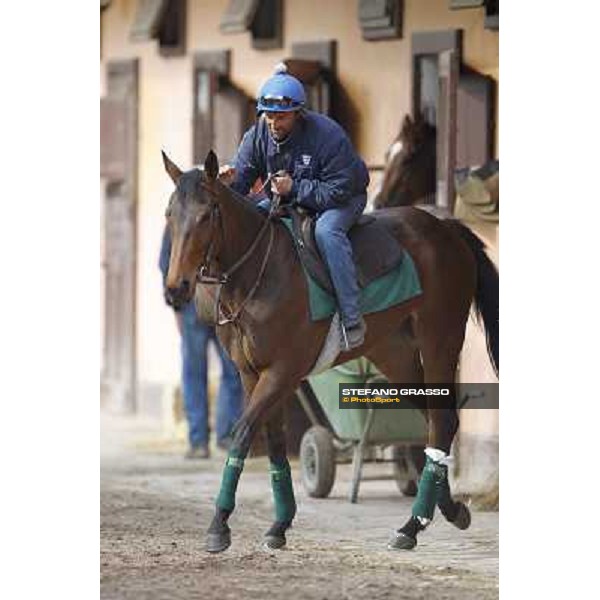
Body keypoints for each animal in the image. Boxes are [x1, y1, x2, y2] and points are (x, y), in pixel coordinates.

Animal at [162, 149, 500, 552]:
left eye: (206, 214)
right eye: (169, 214)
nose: (176, 288)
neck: (259, 274)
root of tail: (447, 229)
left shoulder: (283, 371)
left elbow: (243, 431)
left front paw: (219, 523)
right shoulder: (251, 372)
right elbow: (274, 441)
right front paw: (279, 523)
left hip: (440, 338)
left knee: (443, 418)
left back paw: (411, 525)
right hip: (396, 354)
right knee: (436, 420)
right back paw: (446, 511)